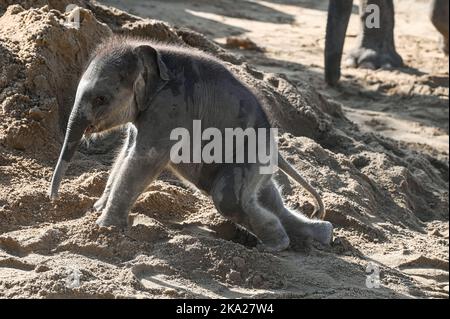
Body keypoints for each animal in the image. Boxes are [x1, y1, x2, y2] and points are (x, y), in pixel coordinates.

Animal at [49, 37, 332, 252]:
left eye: (101, 99)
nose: (53, 200)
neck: (146, 53)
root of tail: (276, 148)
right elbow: (127, 151)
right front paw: (97, 208)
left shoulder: (169, 107)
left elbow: (144, 158)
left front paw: (105, 228)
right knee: (265, 198)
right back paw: (321, 234)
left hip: (248, 153)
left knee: (229, 200)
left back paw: (276, 246)